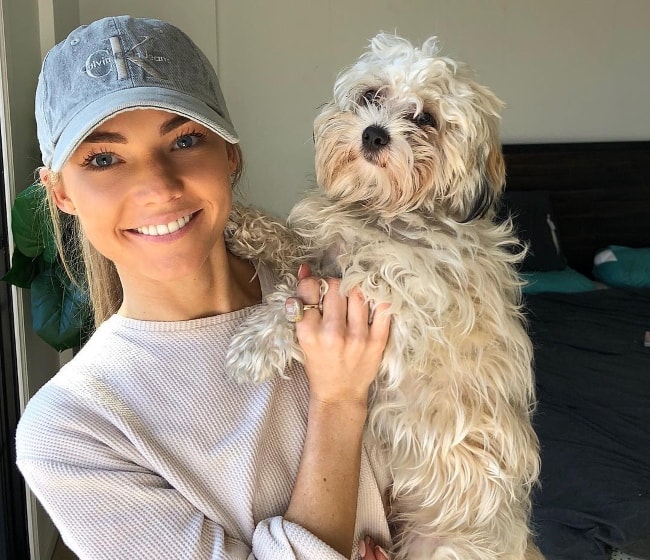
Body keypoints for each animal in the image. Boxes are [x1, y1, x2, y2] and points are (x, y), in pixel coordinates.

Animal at [223, 31, 540, 560]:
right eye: (371, 95)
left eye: (425, 118)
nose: (374, 134)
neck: (383, 213)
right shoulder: (323, 247)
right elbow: (294, 243)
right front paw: (243, 222)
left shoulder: (400, 307)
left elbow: (322, 287)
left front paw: (259, 342)